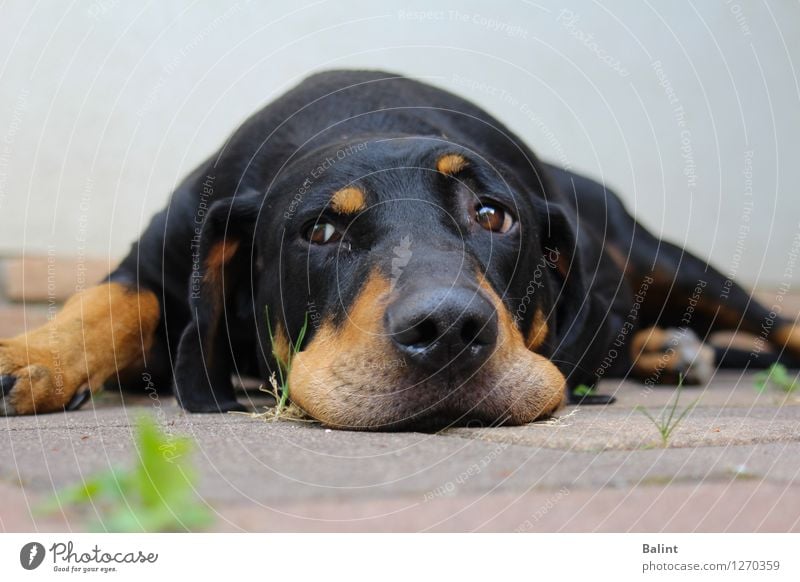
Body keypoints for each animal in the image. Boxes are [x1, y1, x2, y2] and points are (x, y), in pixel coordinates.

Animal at [0, 70, 796, 432]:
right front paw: (30, 356)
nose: (447, 330)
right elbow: (107, 301)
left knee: (766, 318)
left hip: (662, 256)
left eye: (492, 215)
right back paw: (666, 352)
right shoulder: (161, 253)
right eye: (320, 232)